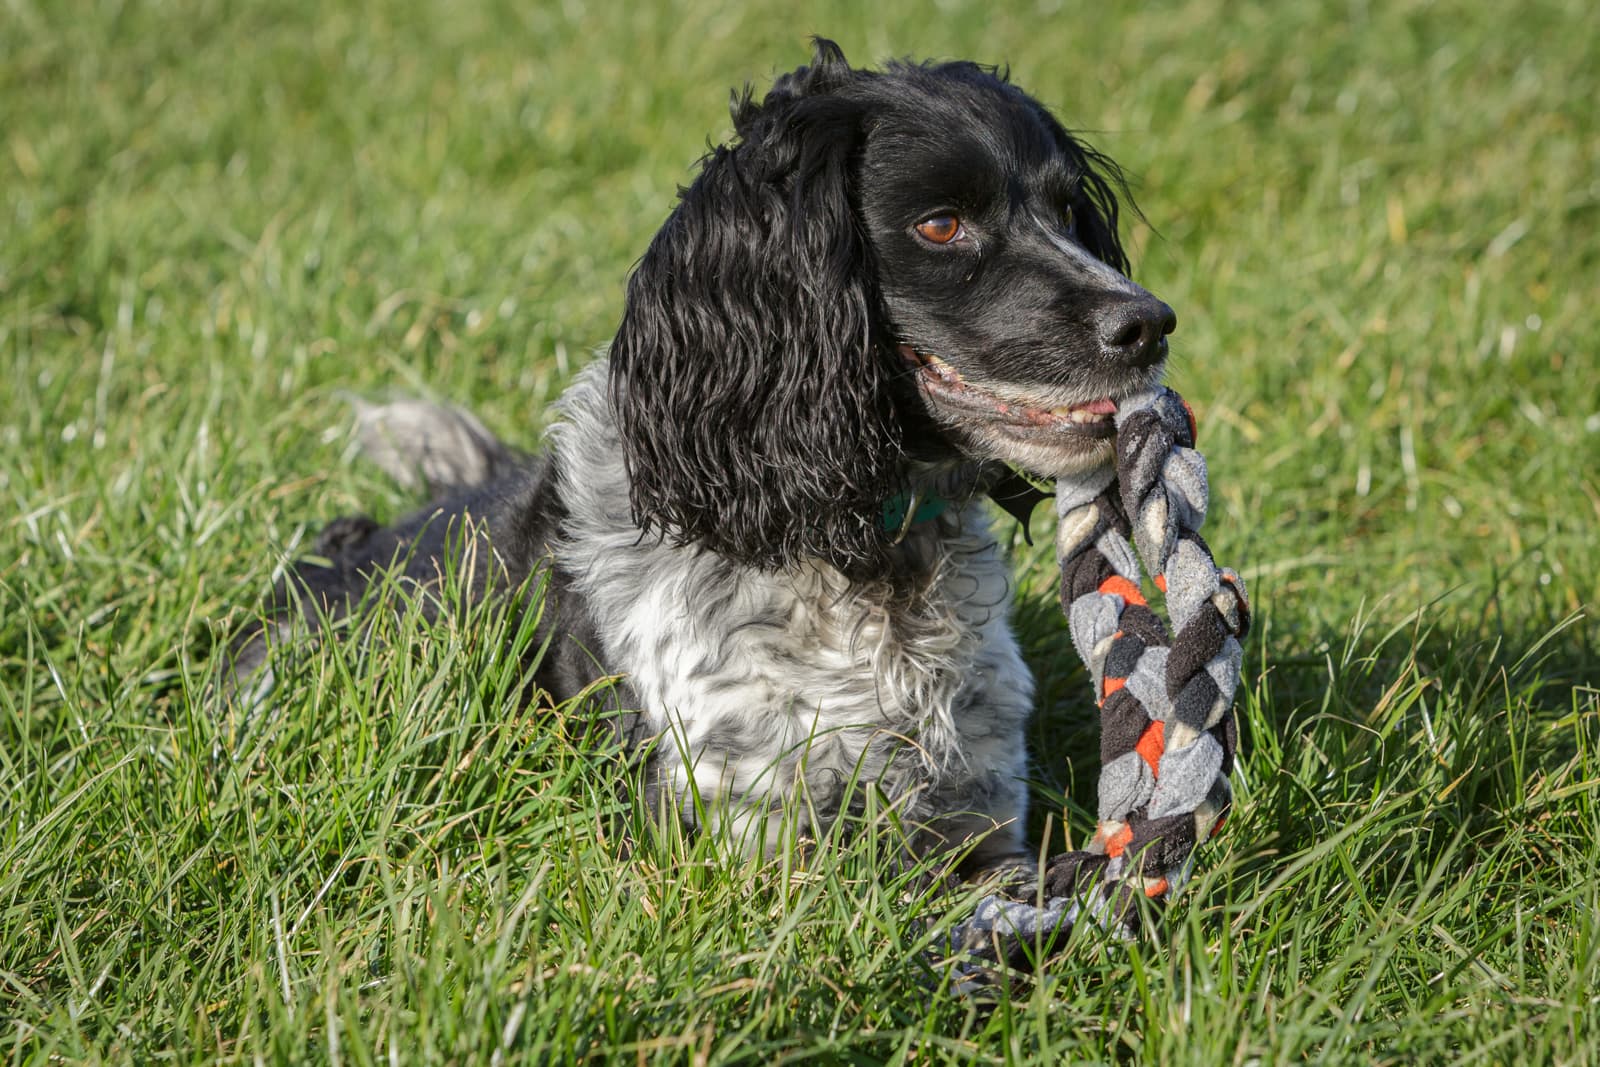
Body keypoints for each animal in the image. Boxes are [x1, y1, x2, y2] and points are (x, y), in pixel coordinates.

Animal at [228, 37, 1177, 883]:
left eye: (1067, 211)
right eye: (940, 224)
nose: (1149, 322)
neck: (860, 560)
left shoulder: (979, 824)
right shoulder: (744, 852)